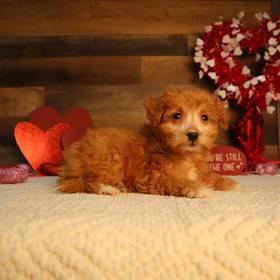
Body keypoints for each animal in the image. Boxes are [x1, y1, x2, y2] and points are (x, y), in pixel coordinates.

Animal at [58, 88, 240, 198]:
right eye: (177, 116)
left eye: (205, 117)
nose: (193, 135)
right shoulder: (153, 177)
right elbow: (179, 181)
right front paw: (200, 189)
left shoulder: (199, 171)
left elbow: (208, 176)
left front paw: (228, 183)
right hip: (109, 158)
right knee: (86, 182)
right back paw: (108, 188)